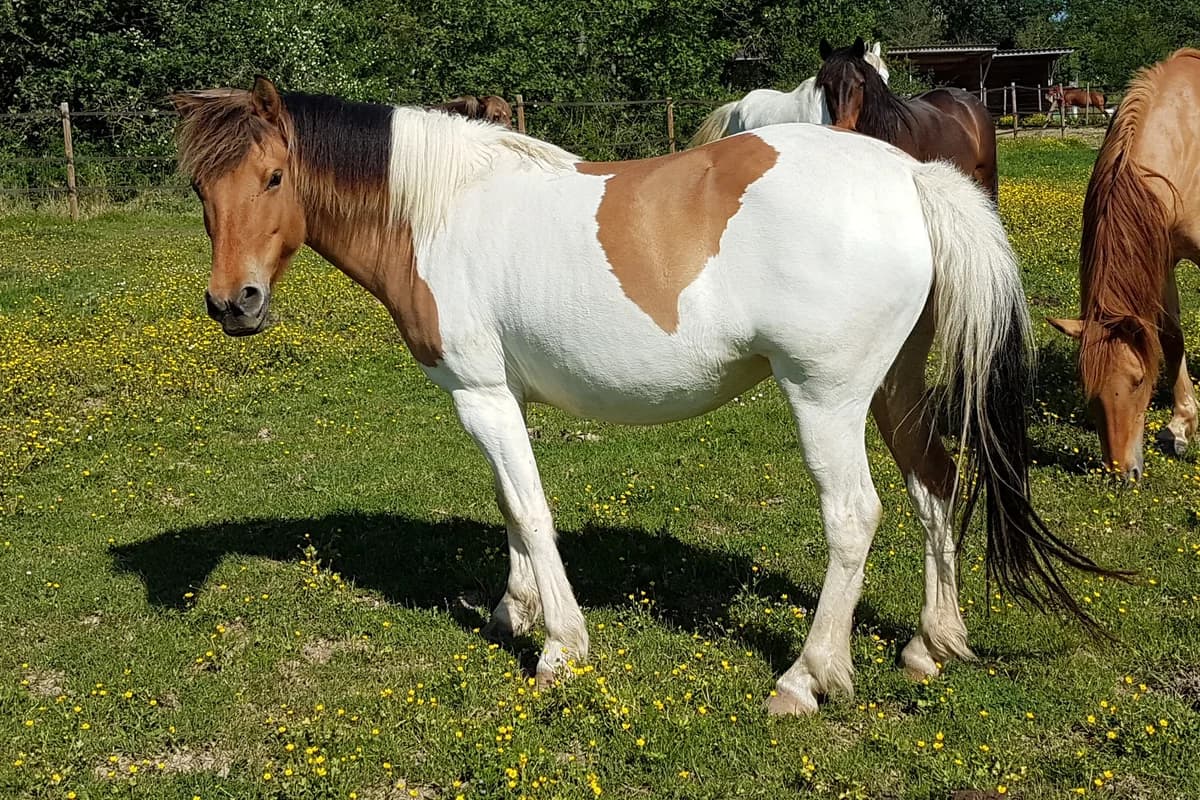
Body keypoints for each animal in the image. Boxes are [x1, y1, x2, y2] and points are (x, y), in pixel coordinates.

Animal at [173, 77, 1111, 714]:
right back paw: (931, 641)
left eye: (272, 177)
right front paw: (515, 610)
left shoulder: (480, 393)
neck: (441, 210)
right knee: (934, 484)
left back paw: (808, 677)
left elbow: (533, 509)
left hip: (828, 399)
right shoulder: (499, 395)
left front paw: (560, 644)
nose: (233, 304)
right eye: (199, 188)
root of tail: (911, 180)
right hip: (895, 387)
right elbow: (511, 505)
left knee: (855, 517)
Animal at [1047, 50, 1200, 479]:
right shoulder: (1161, 257)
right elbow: (1170, 336)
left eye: (1138, 381)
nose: (1119, 472)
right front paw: (1180, 425)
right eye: (1087, 385)